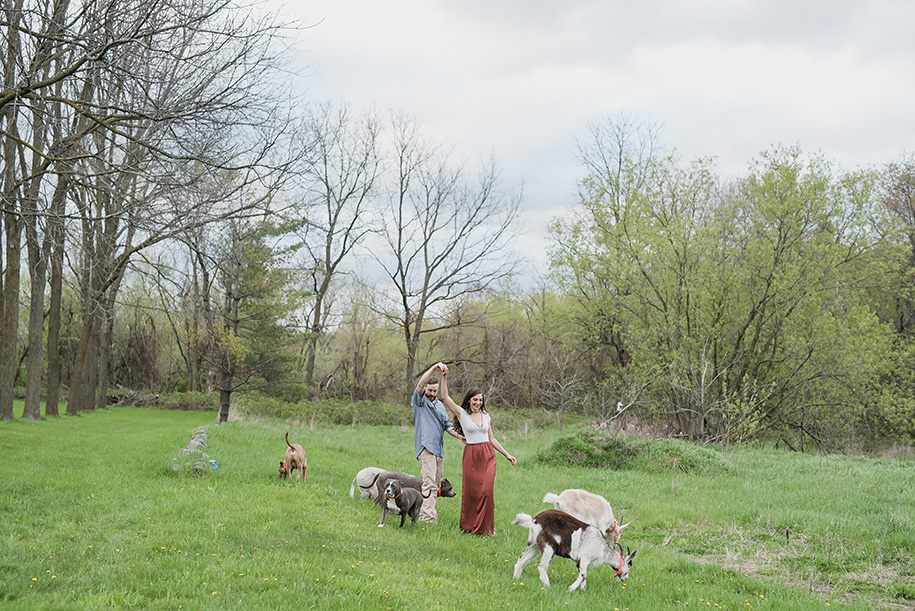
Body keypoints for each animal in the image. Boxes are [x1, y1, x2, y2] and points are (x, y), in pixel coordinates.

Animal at [512, 512, 640, 592]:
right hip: (549, 547)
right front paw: (570, 589)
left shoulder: (579, 562)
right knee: (542, 566)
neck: (602, 549)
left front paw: (583, 590)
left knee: (521, 560)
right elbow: (584, 575)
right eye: (629, 566)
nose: (625, 579)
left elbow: (583, 574)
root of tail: (534, 520)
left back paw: (516, 579)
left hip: (534, 545)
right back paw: (547, 585)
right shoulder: (585, 558)